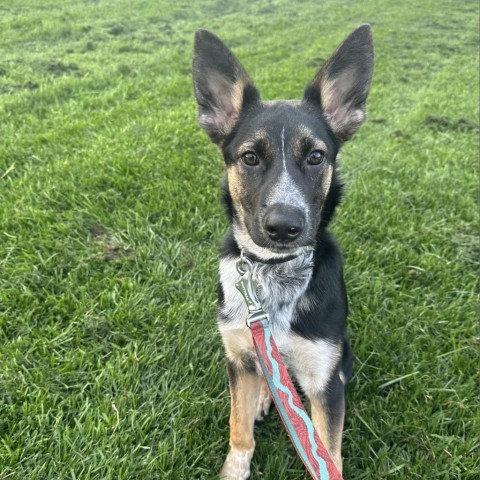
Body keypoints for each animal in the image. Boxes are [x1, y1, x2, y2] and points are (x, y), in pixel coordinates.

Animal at [193, 24, 374, 478]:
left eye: (316, 156)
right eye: (250, 157)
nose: (283, 227)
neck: (273, 273)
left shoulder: (324, 377)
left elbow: (327, 454)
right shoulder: (238, 357)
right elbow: (238, 430)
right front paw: (235, 468)